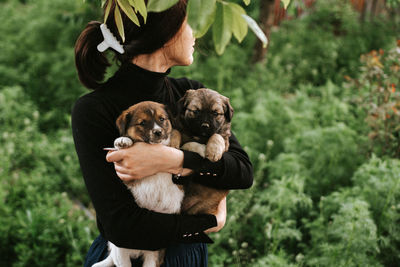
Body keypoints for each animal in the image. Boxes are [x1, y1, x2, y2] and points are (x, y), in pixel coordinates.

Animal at [93, 101, 182, 267]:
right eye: (143, 123)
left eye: (162, 119)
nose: (158, 132)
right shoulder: (126, 176)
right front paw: (122, 141)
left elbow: (174, 137)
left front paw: (173, 142)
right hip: (120, 250)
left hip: (154, 254)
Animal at [176, 89, 234, 217]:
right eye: (196, 111)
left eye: (215, 113)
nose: (205, 126)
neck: (201, 137)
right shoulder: (180, 143)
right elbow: (190, 143)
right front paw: (203, 150)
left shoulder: (225, 140)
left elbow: (217, 135)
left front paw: (214, 151)